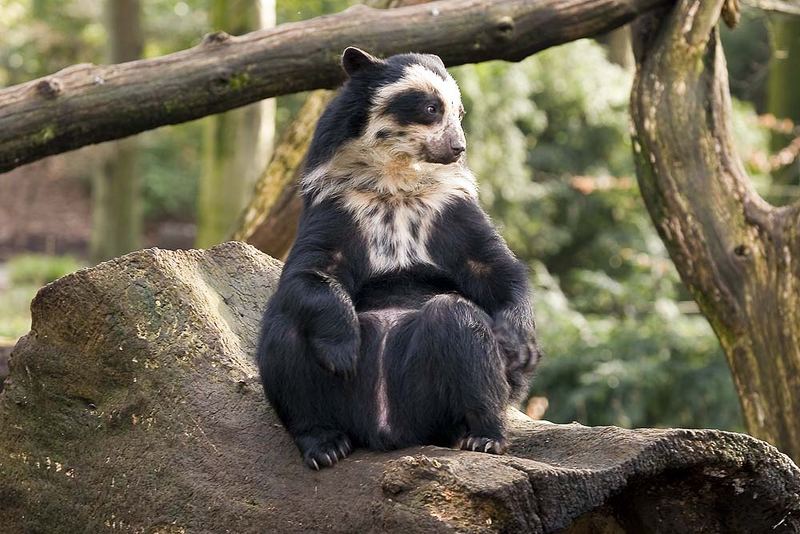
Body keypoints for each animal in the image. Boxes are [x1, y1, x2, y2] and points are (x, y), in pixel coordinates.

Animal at [260, 48, 540, 472]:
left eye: (459, 113)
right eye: (430, 108)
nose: (458, 148)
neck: (395, 182)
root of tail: (386, 430)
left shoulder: (449, 206)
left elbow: (492, 267)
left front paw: (518, 345)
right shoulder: (336, 203)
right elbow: (311, 270)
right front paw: (343, 350)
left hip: (432, 399)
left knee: (458, 321)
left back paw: (483, 437)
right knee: (286, 337)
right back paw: (325, 446)